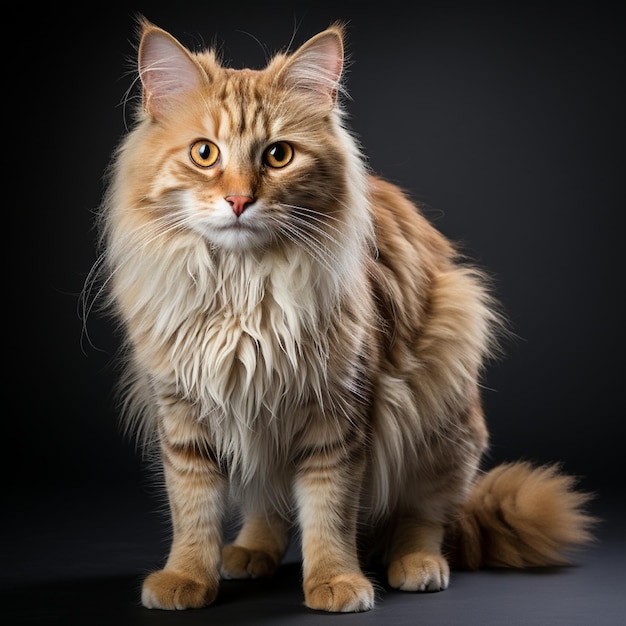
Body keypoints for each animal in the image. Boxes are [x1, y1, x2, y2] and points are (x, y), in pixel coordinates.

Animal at [91, 18, 596, 608]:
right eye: (204, 154)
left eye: (278, 156)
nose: (239, 201)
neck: (243, 288)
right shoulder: (184, 411)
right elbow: (193, 510)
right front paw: (188, 578)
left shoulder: (339, 409)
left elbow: (329, 511)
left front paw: (335, 581)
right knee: (267, 505)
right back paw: (249, 553)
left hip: (445, 392)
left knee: (426, 515)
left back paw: (416, 563)